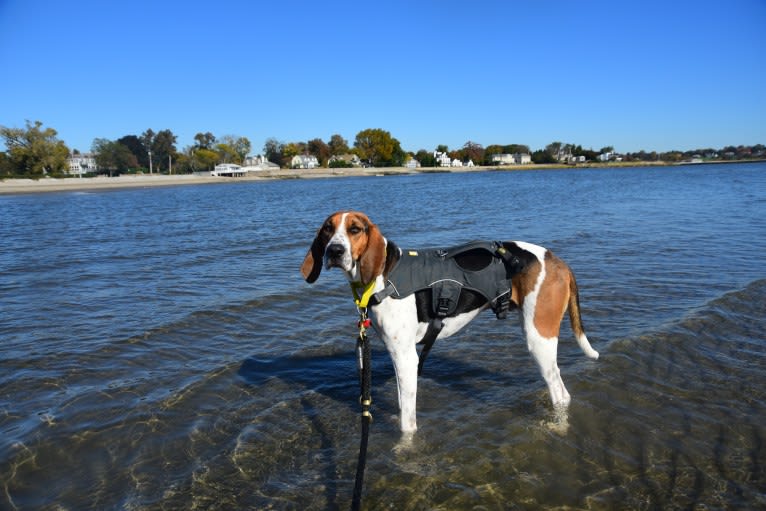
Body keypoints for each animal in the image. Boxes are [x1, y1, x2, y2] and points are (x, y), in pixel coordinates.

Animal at [300, 211, 600, 432]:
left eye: (355, 229)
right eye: (327, 230)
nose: (334, 251)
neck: (384, 274)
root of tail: (557, 261)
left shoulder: (406, 358)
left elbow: (407, 422)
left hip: (539, 338)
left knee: (561, 394)